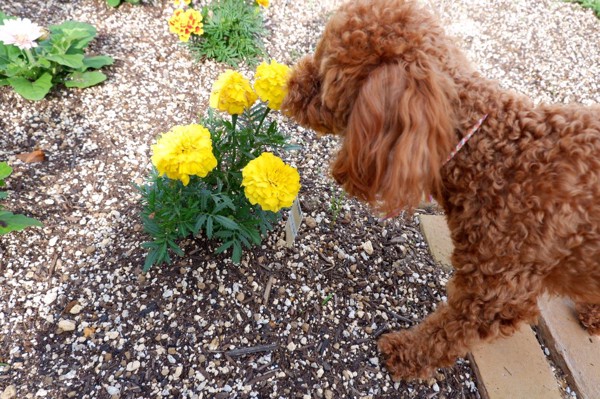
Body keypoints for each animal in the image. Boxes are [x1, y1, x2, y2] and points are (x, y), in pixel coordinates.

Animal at [284, 0, 600, 382]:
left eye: (325, 76)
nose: (287, 84)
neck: (495, 156)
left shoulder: (494, 293)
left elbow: (445, 334)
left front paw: (405, 353)